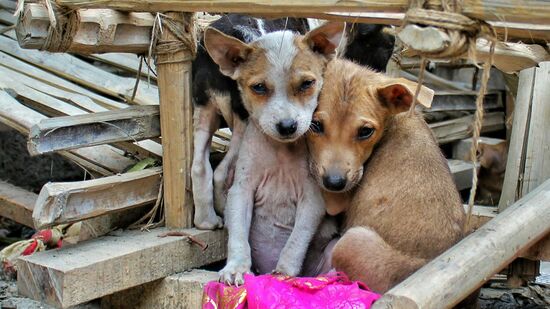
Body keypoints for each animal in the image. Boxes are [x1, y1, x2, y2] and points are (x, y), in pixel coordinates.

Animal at [207, 21, 344, 284]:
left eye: (306, 84)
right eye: (259, 87)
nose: (287, 126)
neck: (281, 151)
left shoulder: (312, 201)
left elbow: (295, 242)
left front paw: (284, 273)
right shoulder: (241, 191)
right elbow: (238, 237)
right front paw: (236, 268)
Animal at [308, 59, 468, 294]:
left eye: (365, 131)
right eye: (315, 125)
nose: (335, 183)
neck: (394, 120)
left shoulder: (336, 199)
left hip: (351, 241)